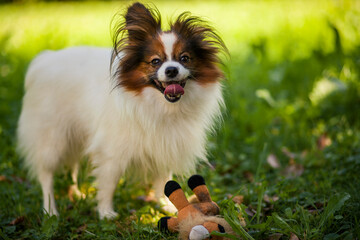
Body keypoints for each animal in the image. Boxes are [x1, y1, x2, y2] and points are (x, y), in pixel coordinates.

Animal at [18, 1, 226, 219]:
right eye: (155, 61)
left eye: (184, 58)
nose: (171, 70)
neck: (163, 107)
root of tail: (43, 60)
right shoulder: (112, 152)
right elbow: (108, 183)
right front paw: (105, 213)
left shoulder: (166, 143)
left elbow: (164, 180)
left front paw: (168, 206)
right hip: (53, 140)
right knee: (46, 175)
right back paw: (50, 210)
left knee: (72, 167)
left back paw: (75, 194)